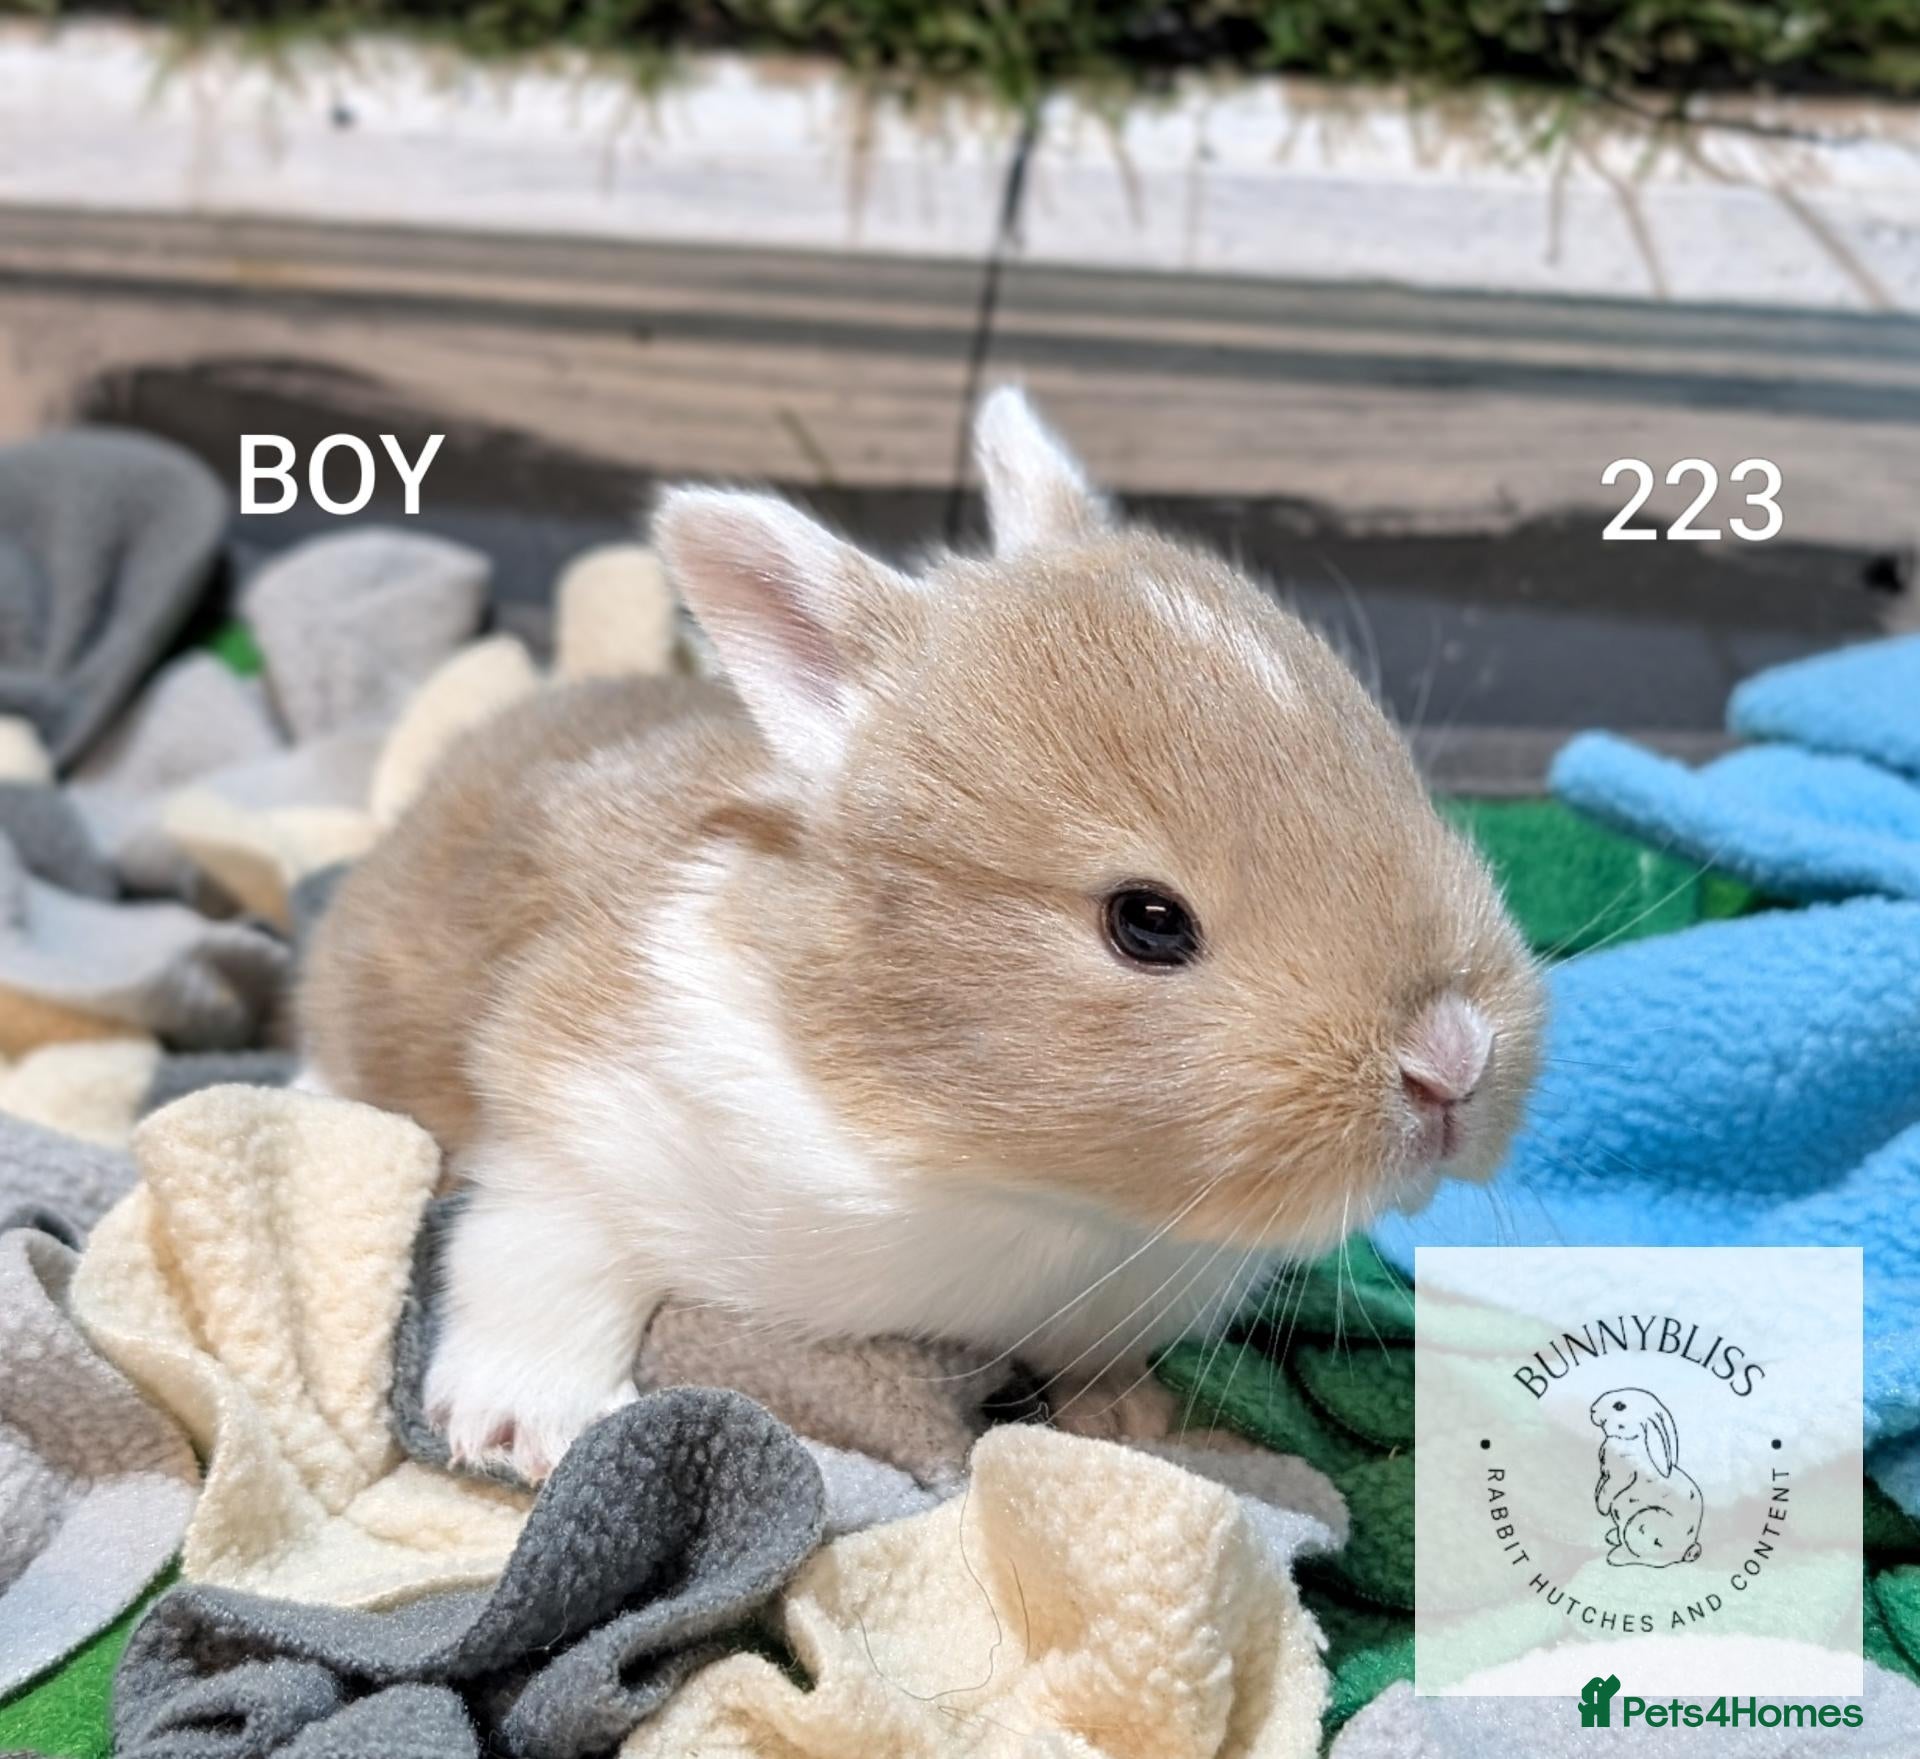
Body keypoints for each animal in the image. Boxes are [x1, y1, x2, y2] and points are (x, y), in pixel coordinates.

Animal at [299, 388, 1545, 1482]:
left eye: (1399, 774)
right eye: (1147, 922)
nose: (1452, 1058)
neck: (997, 1171)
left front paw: (1129, 1415)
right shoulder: (574, 1107)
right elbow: (538, 1250)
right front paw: (522, 1428)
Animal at [1591, 1388, 1705, 1567]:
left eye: (1619, 1406)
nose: (1593, 1410)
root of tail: (1685, 1550)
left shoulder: (1618, 1477)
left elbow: (1606, 1492)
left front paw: (1602, 1509)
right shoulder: (1605, 1475)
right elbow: (1599, 1487)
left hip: (1641, 1523)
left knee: (1650, 1559)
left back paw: (1617, 1556)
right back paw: (1613, 1537)